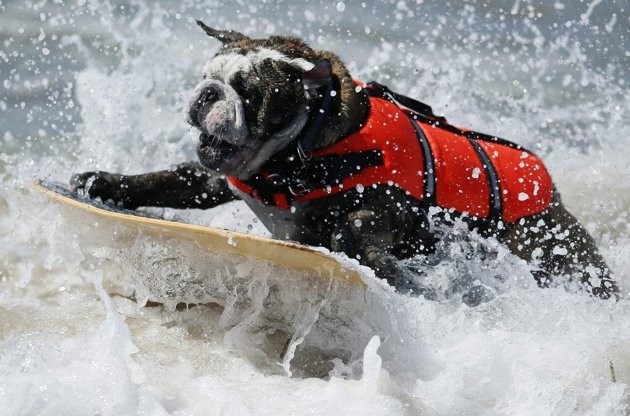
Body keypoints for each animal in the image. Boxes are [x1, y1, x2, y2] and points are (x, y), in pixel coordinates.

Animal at [69, 21, 616, 300]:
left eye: (249, 93)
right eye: (208, 75)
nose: (208, 94)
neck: (299, 151)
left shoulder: (389, 206)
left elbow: (355, 225)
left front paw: (387, 271)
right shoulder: (213, 180)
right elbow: (167, 181)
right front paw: (104, 182)